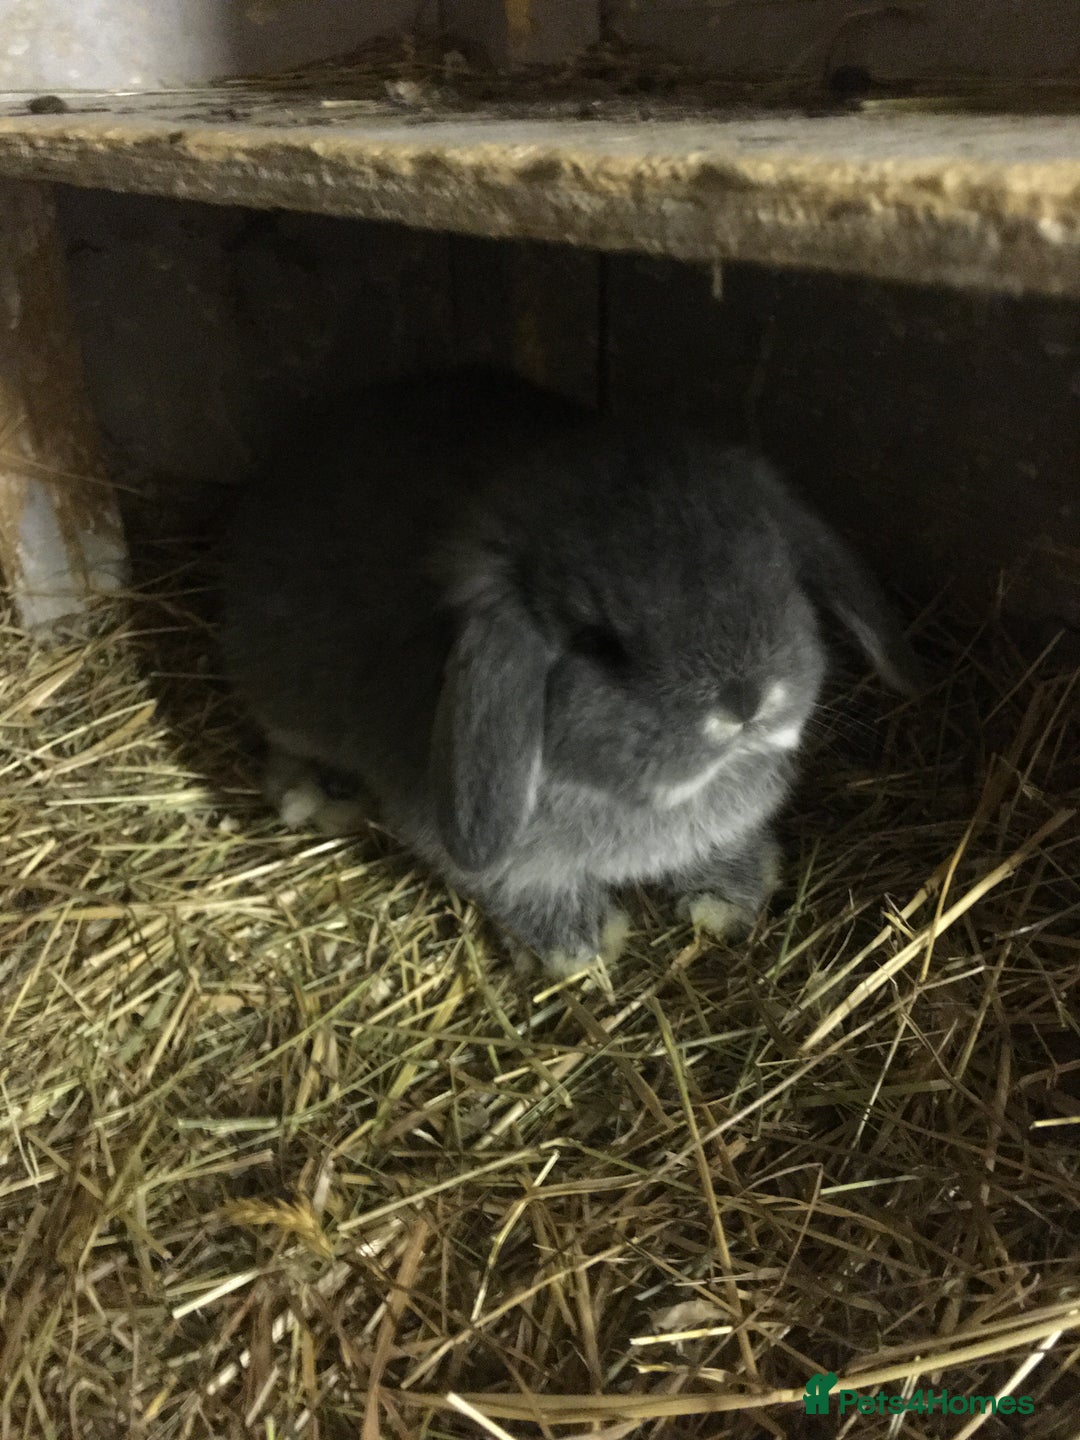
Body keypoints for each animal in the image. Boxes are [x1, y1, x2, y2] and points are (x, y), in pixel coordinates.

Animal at [220, 367, 923, 978]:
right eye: (598, 645)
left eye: (776, 574)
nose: (745, 702)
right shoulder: (492, 859)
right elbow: (522, 887)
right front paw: (580, 943)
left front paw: (730, 896)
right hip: (286, 702)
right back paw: (316, 794)